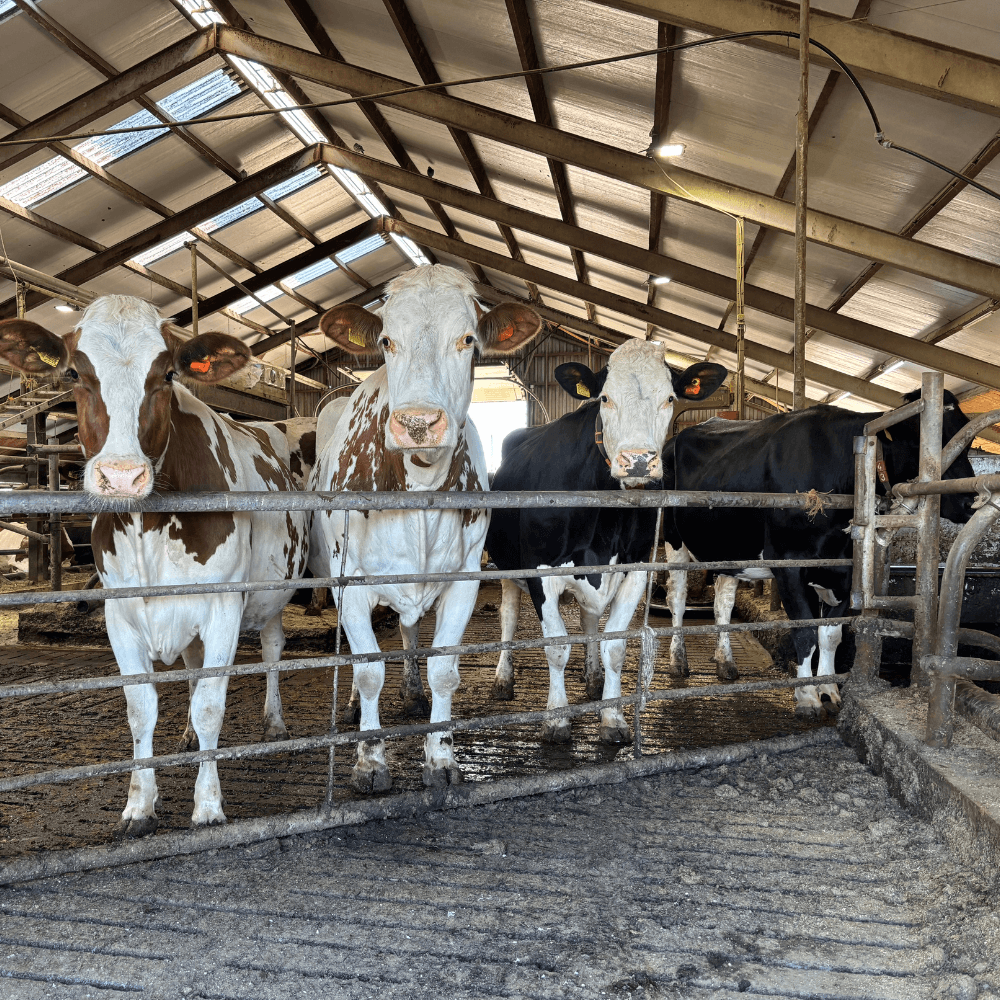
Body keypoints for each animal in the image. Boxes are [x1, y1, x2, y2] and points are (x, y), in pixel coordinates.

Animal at [0, 296, 309, 837]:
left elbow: (211, 705)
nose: (123, 476)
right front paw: (139, 806)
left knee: (272, 648)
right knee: (191, 667)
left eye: (167, 374)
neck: (150, 529)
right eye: (75, 373)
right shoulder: (119, 614)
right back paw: (186, 735)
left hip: (272, 594)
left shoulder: (224, 606)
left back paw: (274, 722)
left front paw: (207, 807)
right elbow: (142, 709)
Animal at [307, 265, 542, 793]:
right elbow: (368, 669)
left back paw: (413, 695)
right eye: (387, 341)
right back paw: (352, 708)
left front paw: (441, 758)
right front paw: (370, 762)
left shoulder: (465, 578)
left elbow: (443, 669)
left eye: (468, 339)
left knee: (409, 632)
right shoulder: (349, 580)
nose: (418, 422)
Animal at [486, 341, 727, 744]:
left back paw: (593, 678)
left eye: (669, 398)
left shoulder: (636, 569)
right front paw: (556, 719)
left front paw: (612, 717)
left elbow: (614, 646)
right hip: (506, 567)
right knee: (508, 617)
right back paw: (503, 680)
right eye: (604, 398)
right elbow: (556, 646)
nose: (638, 461)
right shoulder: (540, 570)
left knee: (588, 619)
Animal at [663, 391, 976, 716]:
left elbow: (830, 636)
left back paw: (725, 662)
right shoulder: (788, 564)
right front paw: (807, 697)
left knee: (723, 601)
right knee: (677, 598)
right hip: (673, 538)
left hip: (729, 547)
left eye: (968, 443)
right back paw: (678, 661)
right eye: (920, 442)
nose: (971, 502)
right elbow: (805, 632)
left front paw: (829, 690)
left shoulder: (846, 571)